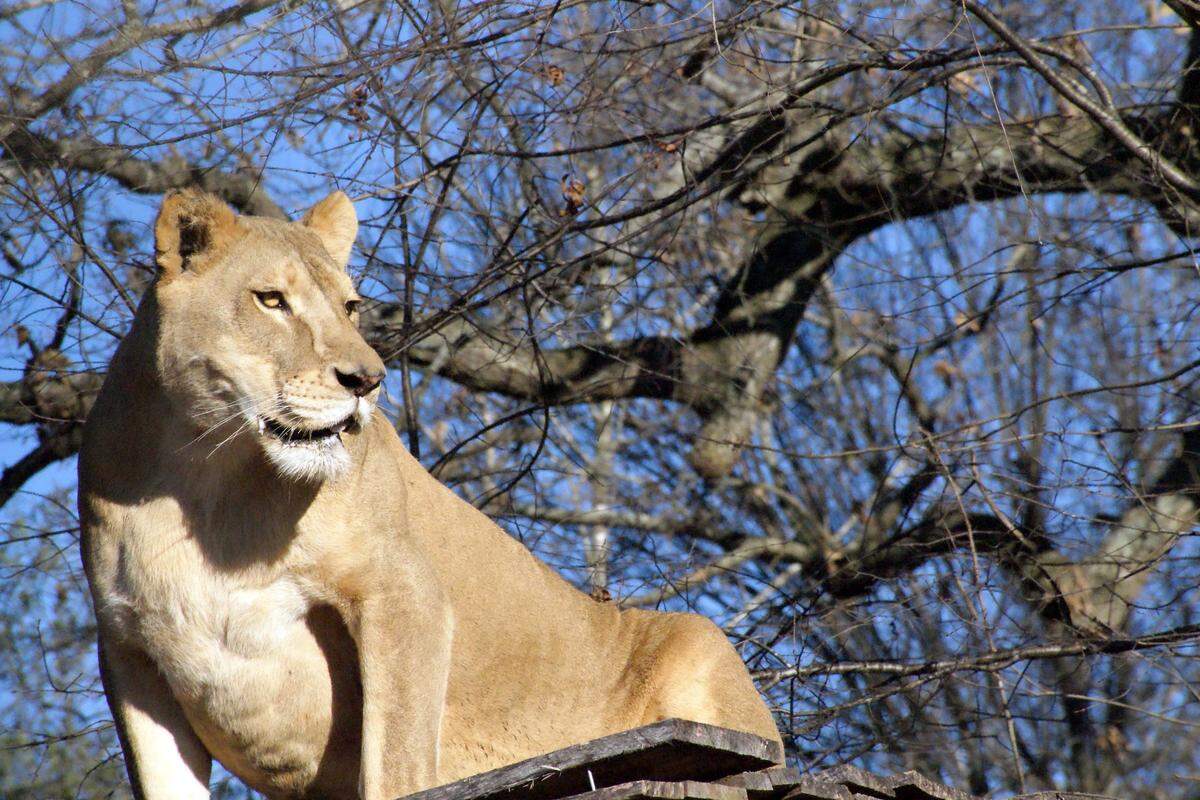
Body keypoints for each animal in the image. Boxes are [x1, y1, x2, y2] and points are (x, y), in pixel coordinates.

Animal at [78, 189, 783, 800]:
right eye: (271, 300)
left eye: (350, 307)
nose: (368, 380)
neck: (204, 474)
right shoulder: (130, 651)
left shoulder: (403, 591)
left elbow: (396, 762)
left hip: (701, 644)